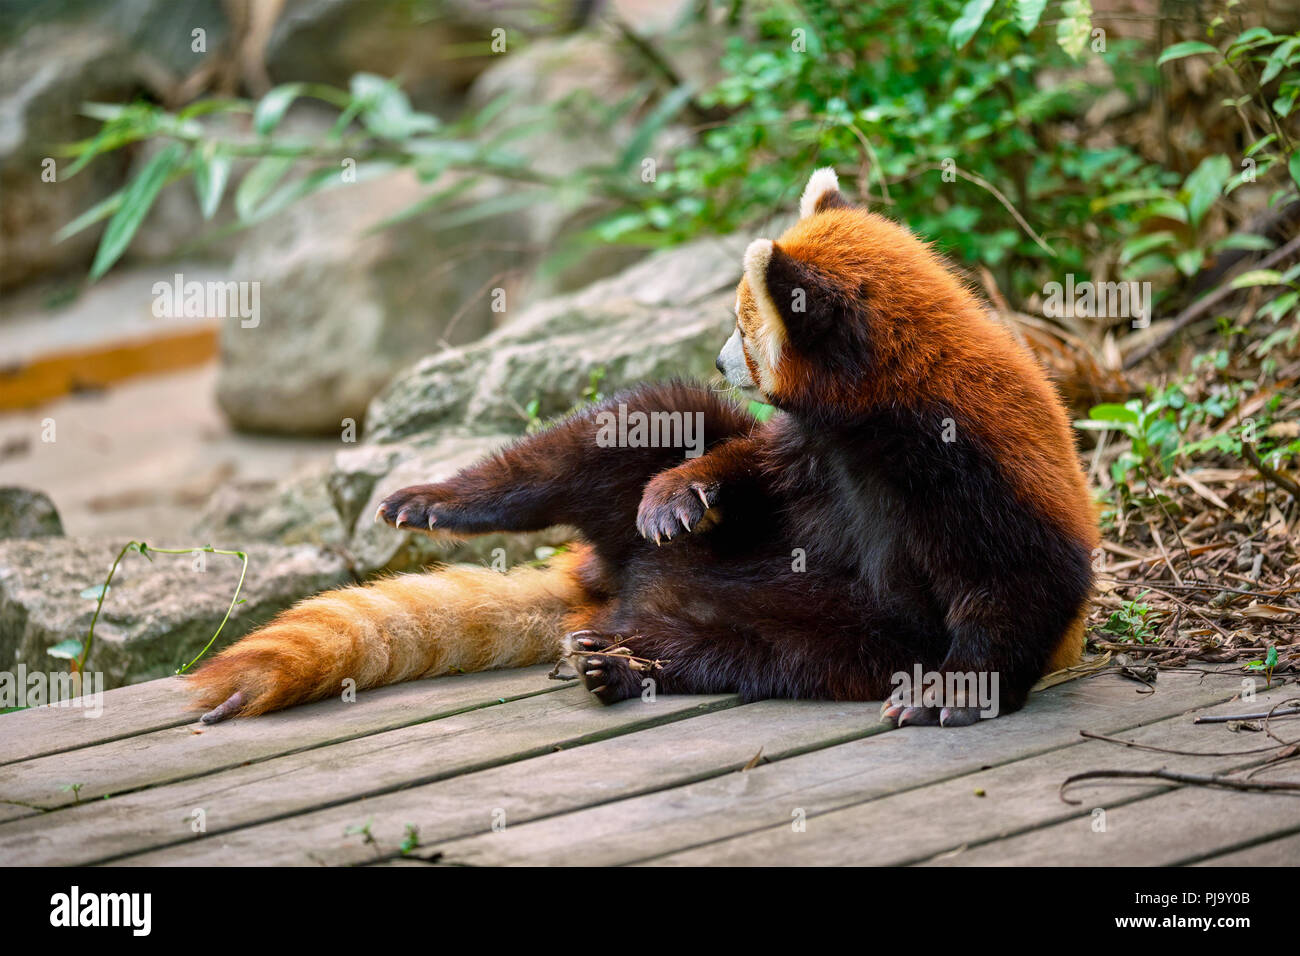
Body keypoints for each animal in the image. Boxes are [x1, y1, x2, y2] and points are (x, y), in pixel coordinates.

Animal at [185, 170, 1097, 723]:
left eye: (741, 328)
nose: (719, 360)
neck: (878, 426)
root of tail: (608, 585)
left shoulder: (977, 477)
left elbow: (1018, 593)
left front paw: (954, 692)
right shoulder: (810, 449)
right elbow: (740, 462)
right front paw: (680, 494)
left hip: (824, 628)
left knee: (765, 651)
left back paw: (622, 665)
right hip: (627, 469)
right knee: (599, 438)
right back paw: (445, 500)